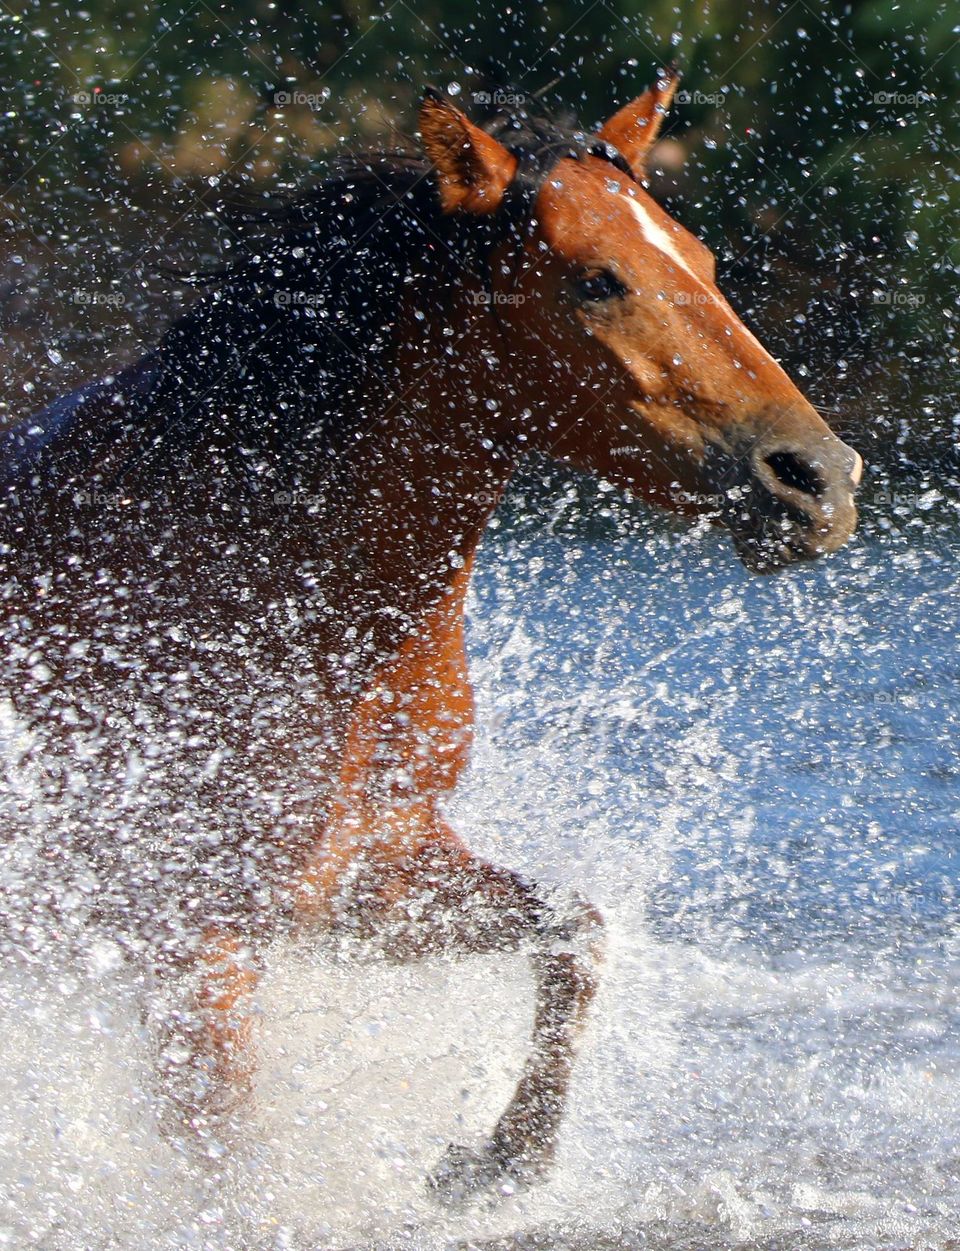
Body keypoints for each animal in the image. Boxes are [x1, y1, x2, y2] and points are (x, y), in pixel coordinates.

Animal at [0, 71, 862, 1197]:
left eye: (704, 260)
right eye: (596, 280)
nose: (820, 480)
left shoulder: (370, 876)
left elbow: (577, 928)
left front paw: (500, 1161)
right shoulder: (196, 941)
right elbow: (225, 1160)